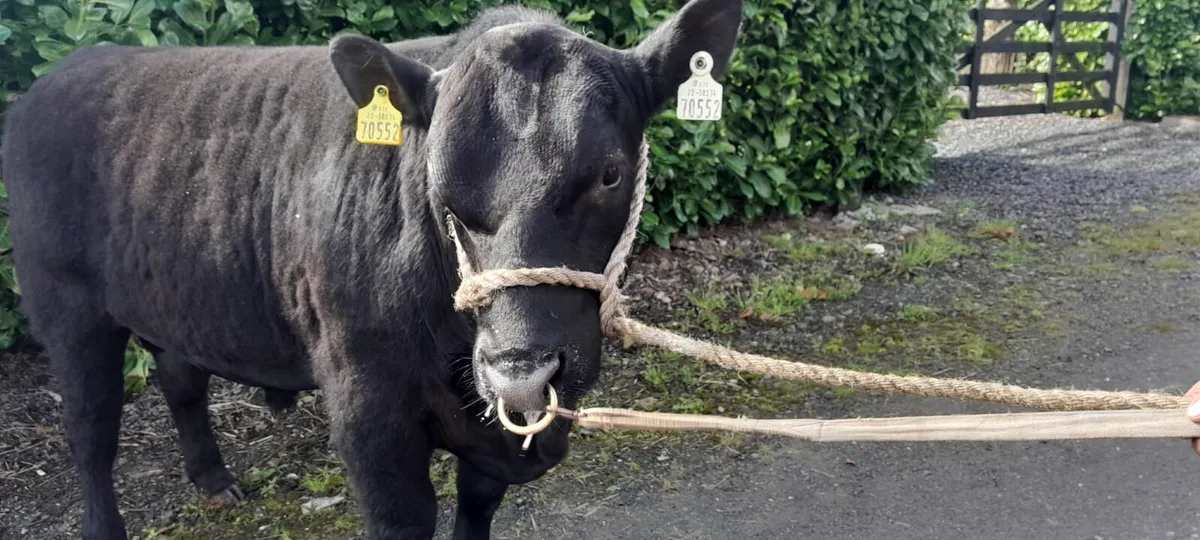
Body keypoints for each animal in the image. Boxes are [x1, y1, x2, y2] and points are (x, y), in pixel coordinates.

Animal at [0, 0, 743, 538]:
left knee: (181, 378)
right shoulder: (370, 411)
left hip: (172, 291)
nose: (523, 371)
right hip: (66, 307)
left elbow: (477, 505)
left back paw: (213, 480)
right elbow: (405, 518)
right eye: (439, 183)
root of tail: (71, 67)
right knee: (91, 433)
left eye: (610, 173)